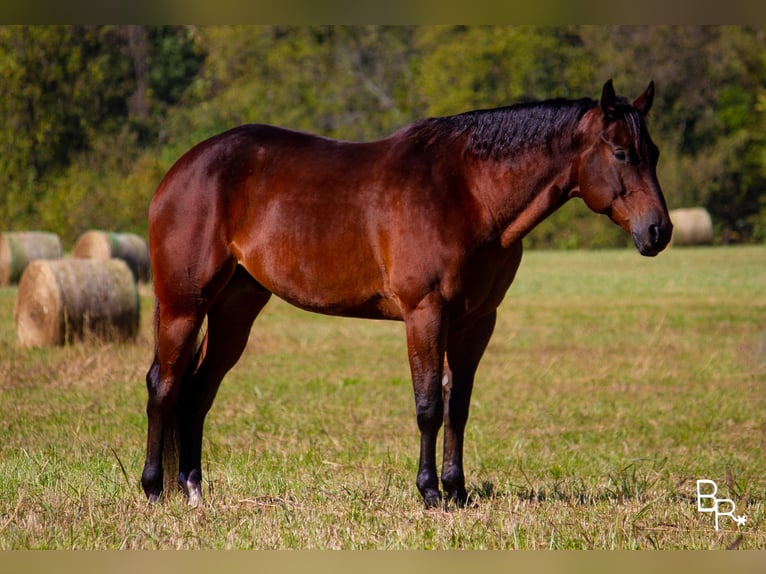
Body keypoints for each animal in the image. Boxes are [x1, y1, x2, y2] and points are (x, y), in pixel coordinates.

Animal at [142, 80, 672, 508]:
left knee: (198, 389)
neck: (469, 193)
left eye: (654, 152)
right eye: (621, 153)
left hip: (235, 309)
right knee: (163, 385)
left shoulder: (476, 322)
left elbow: (458, 406)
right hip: (184, 306)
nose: (659, 231)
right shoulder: (425, 314)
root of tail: (181, 170)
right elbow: (429, 406)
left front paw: (458, 491)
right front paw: (430, 491)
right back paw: (153, 489)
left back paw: (192, 487)